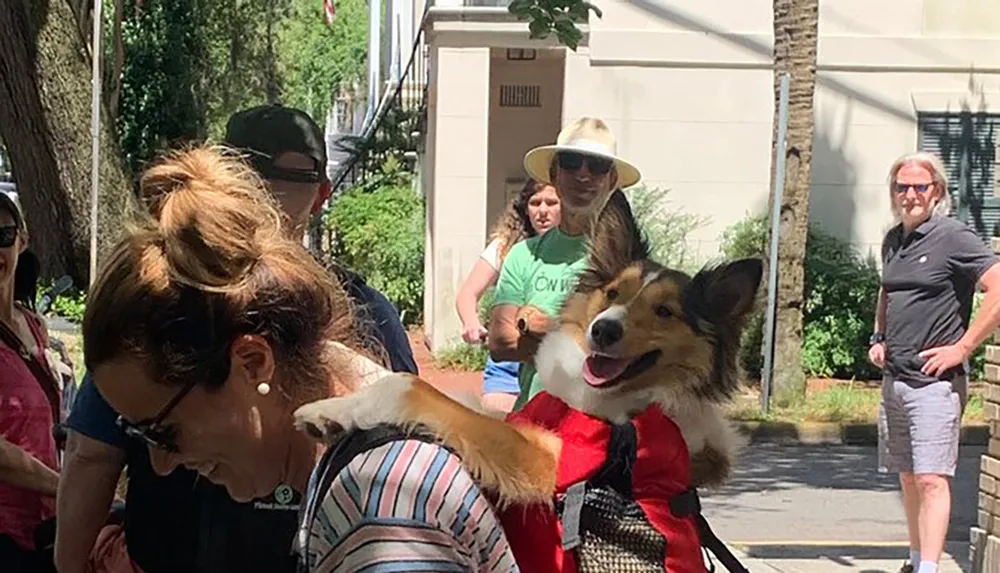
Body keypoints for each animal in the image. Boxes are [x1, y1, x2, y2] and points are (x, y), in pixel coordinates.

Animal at [292, 190, 760, 502]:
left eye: (665, 311)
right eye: (612, 293)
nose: (603, 331)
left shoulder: (548, 462)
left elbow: (415, 388)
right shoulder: (521, 419)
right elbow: (439, 392)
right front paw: (331, 407)